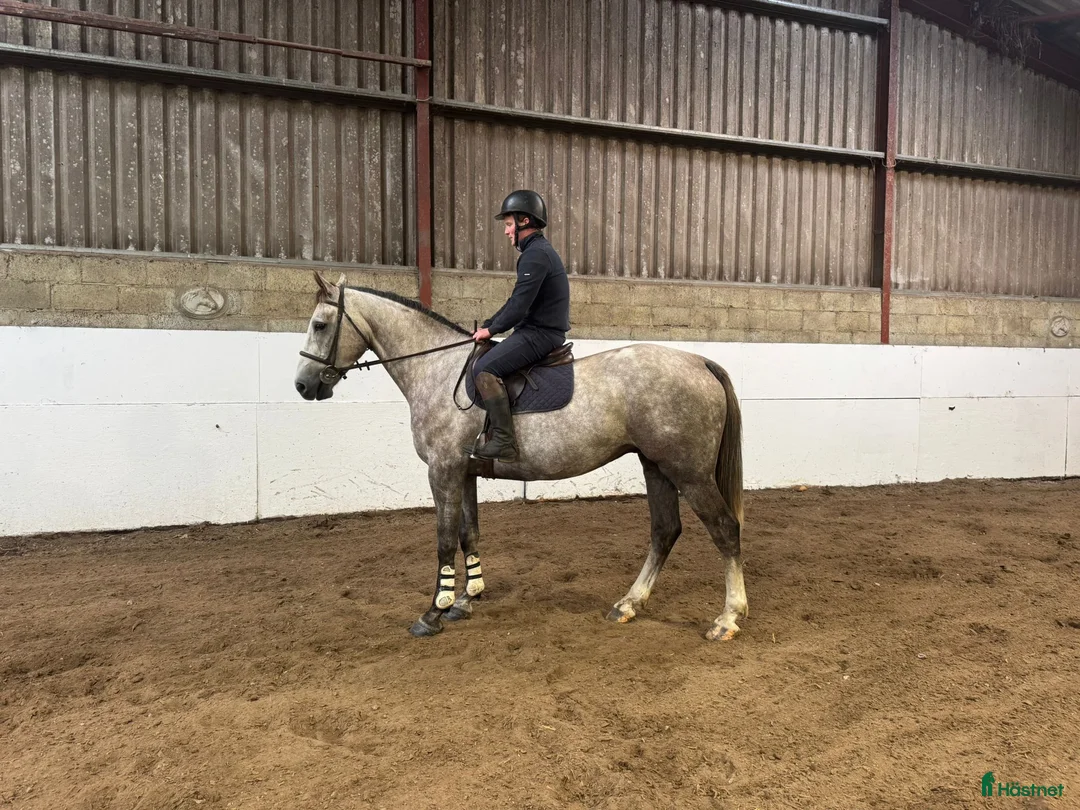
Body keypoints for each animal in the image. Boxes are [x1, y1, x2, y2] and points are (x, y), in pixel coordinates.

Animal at [294, 272, 747, 641]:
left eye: (320, 325)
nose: (303, 385)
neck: (437, 369)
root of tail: (698, 361)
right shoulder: (465, 472)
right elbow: (468, 534)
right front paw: (466, 599)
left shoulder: (443, 470)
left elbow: (443, 540)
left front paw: (434, 612)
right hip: (657, 467)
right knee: (665, 531)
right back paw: (629, 604)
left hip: (689, 472)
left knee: (725, 530)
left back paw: (727, 618)